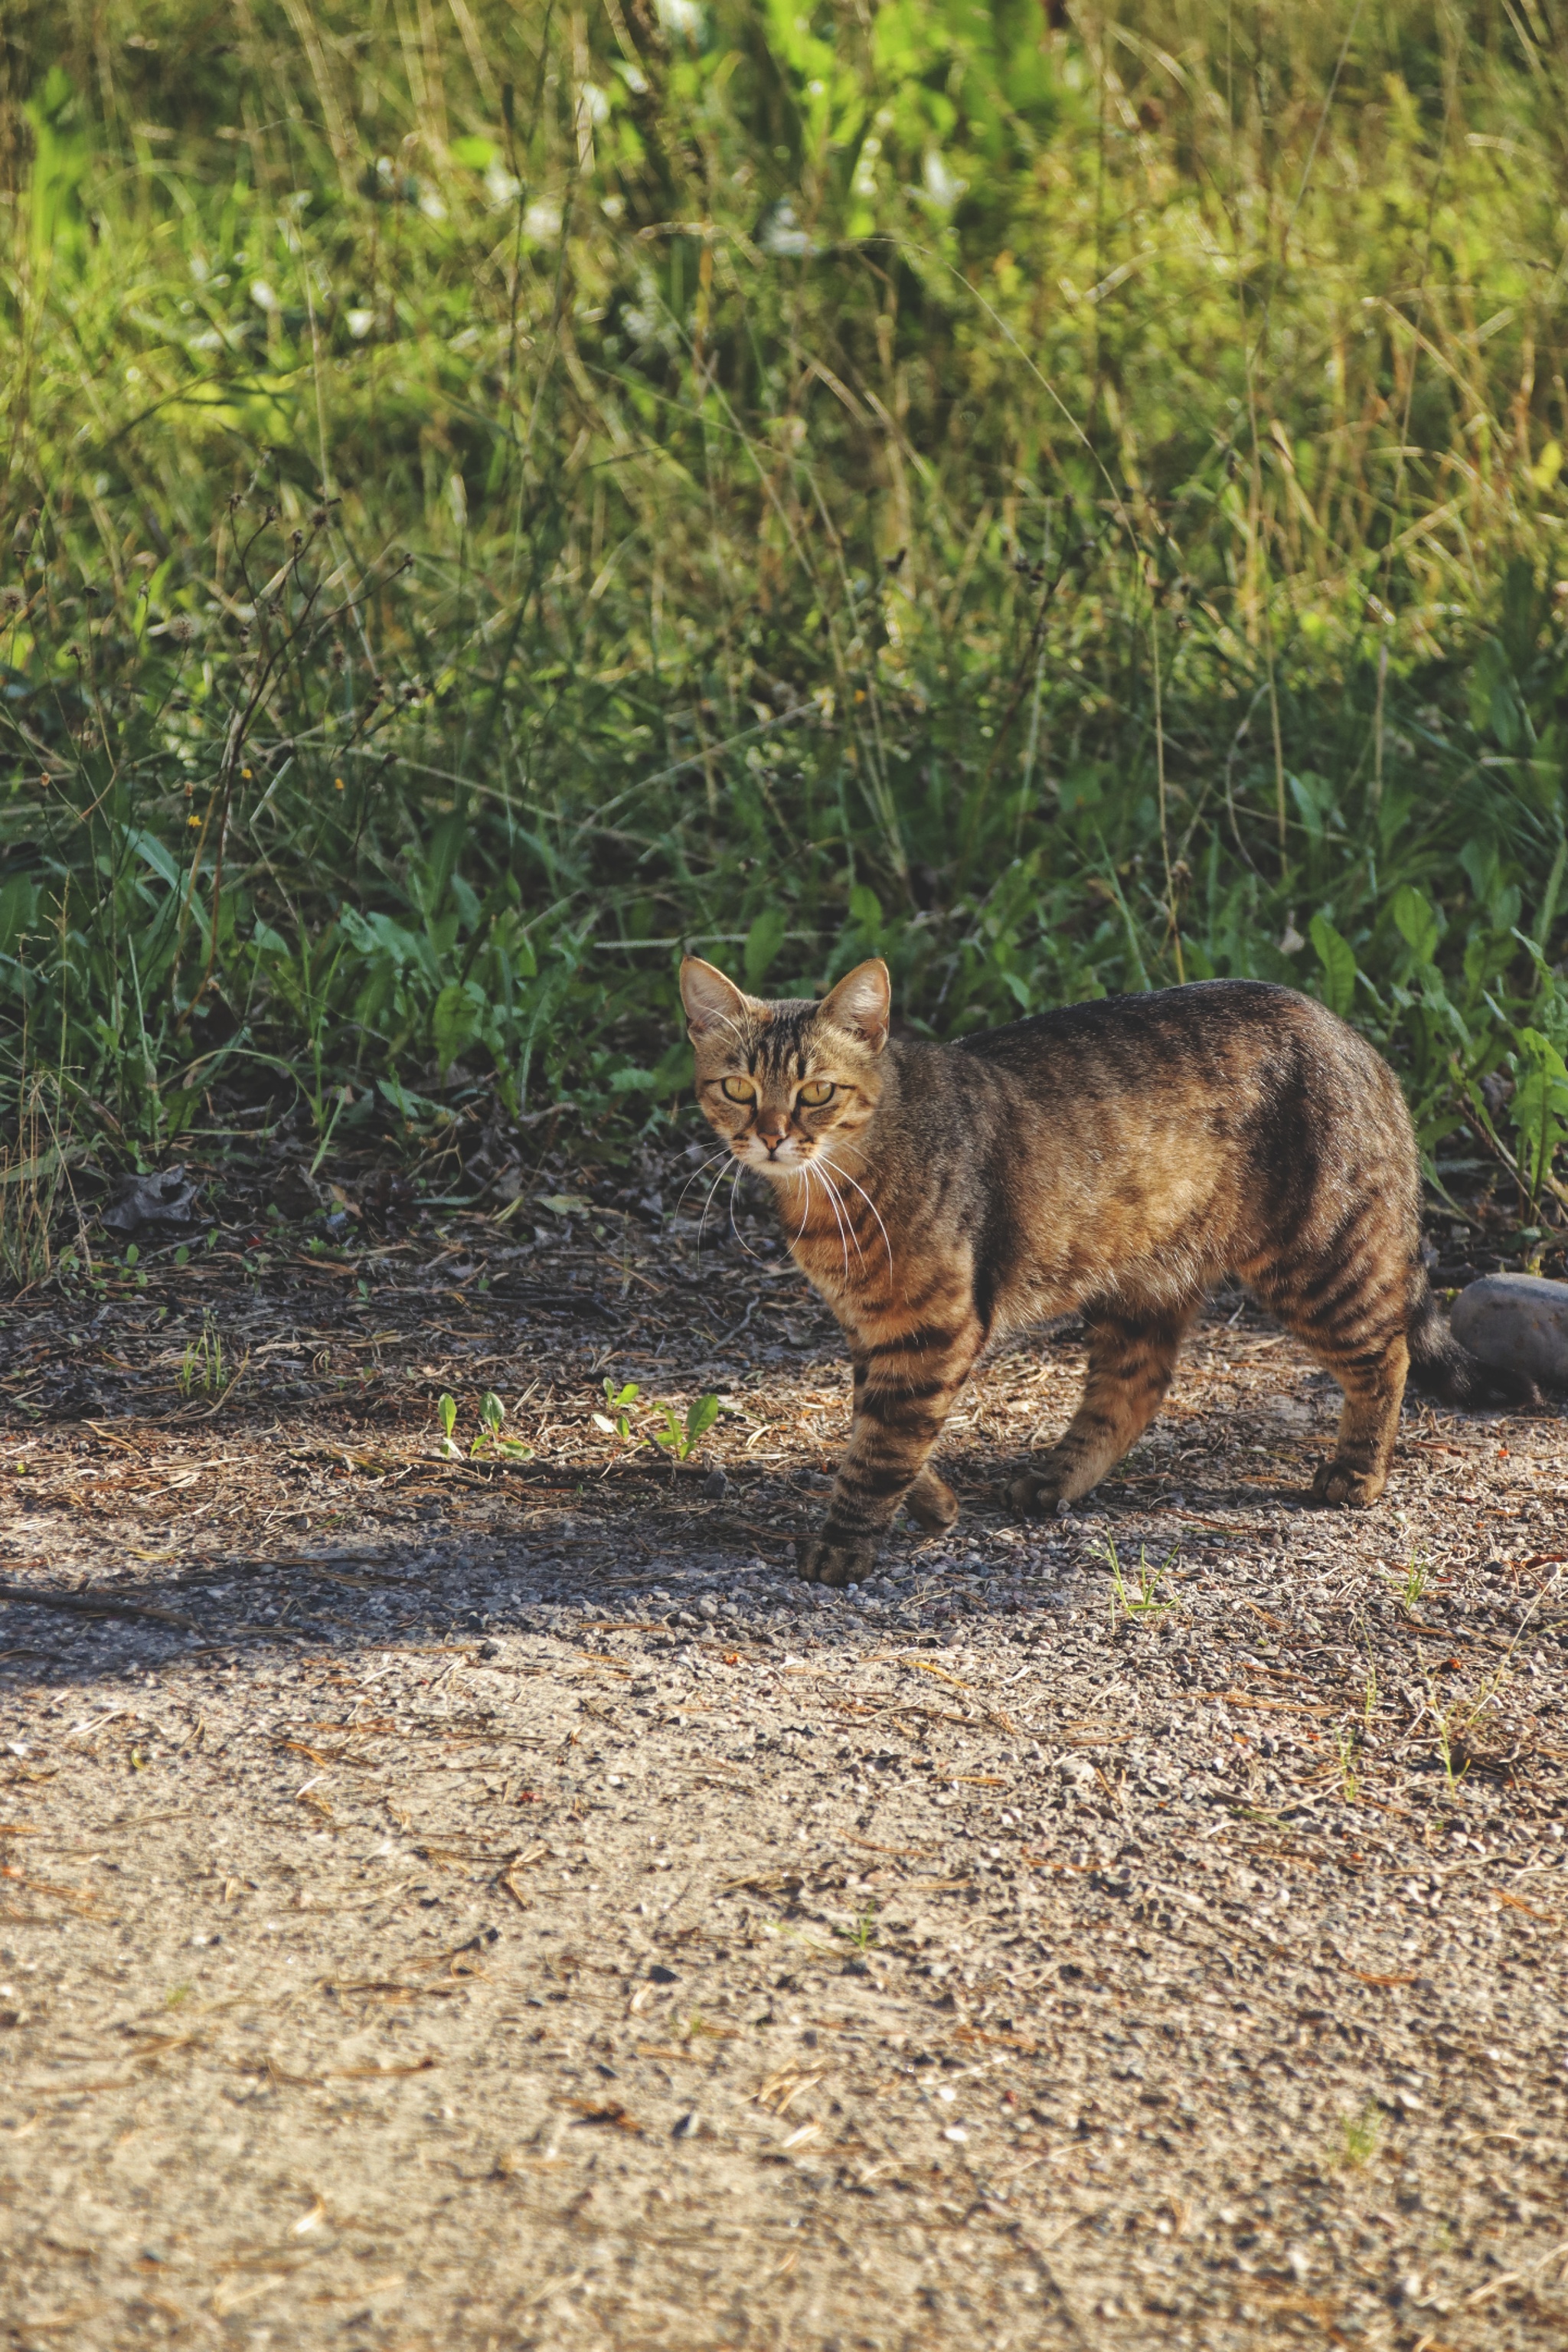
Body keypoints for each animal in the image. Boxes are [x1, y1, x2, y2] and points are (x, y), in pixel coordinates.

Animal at [681, 959, 1523, 1599]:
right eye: (737, 1088)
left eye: (816, 1091)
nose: (771, 1136)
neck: (832, 1195)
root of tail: (1354, 1038)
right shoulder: (875, 1328)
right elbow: (878, 1424)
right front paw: (934, 1503)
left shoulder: (933, 1328)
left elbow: (880, 1446)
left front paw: (847, 1542)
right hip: (1145, 1279)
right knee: (1136, 1387)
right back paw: (1056, 1478)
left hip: (1318, 1258)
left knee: (1387, 1355)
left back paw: (1356, 1472)